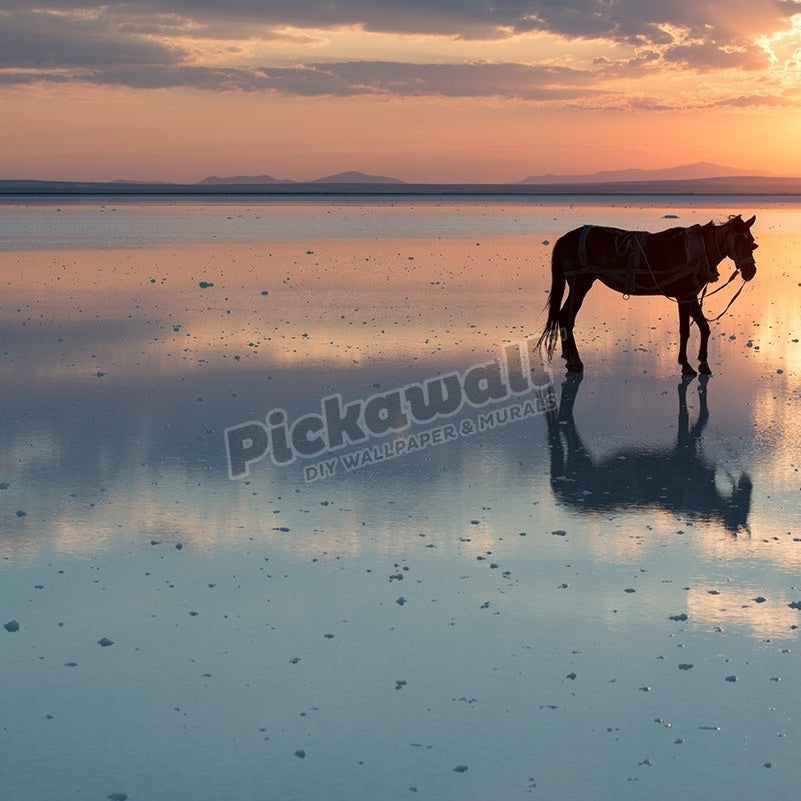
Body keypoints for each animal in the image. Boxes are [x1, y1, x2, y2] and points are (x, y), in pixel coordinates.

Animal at [537, 214, 758, 375]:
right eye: (739, 240)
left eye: (753, 243)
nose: (751, 272)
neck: (698, 250)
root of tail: (564, 238)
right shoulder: (684, 295)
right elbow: (685, 331)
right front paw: (686, 365)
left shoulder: (691, 295)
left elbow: (704, 327)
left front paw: (703, 363)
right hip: (580, 282)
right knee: (568, 318)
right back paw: (575, 361)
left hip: (577, 284)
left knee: (562, 317)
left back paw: (568, 358)